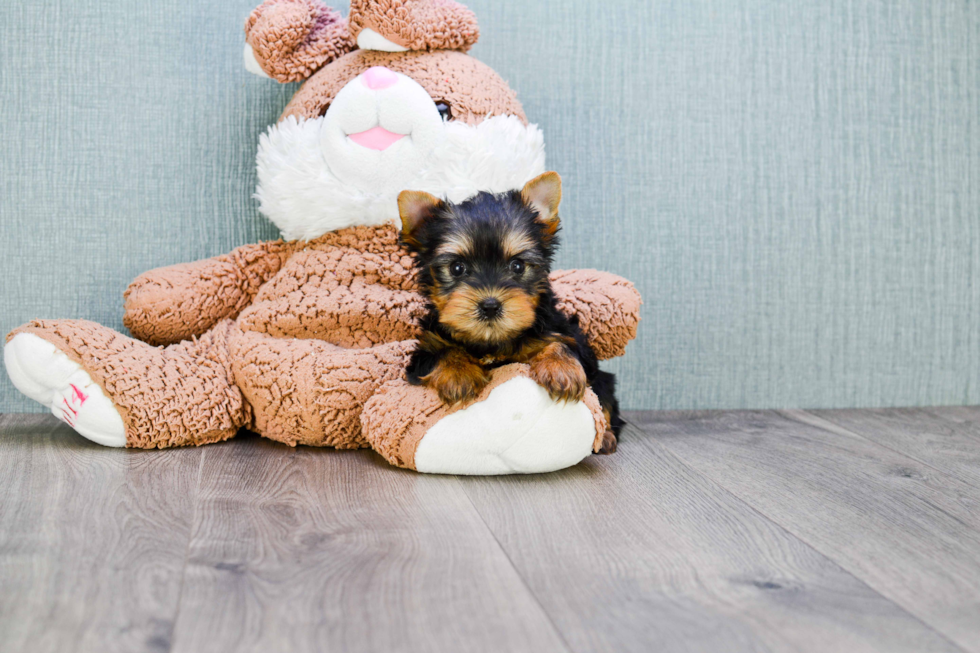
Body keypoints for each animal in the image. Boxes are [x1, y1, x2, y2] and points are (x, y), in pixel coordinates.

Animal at [396, 171, 620, 450]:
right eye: (457, 268)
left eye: (517, 266)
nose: (490, 305)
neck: (491, 342)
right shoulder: (424, 350)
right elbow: (443, 351)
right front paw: (459, 374)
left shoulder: (564, 333)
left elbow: (562, 343)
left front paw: (562, 369)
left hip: (605, 380)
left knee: (606, 397)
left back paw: (606, 436)